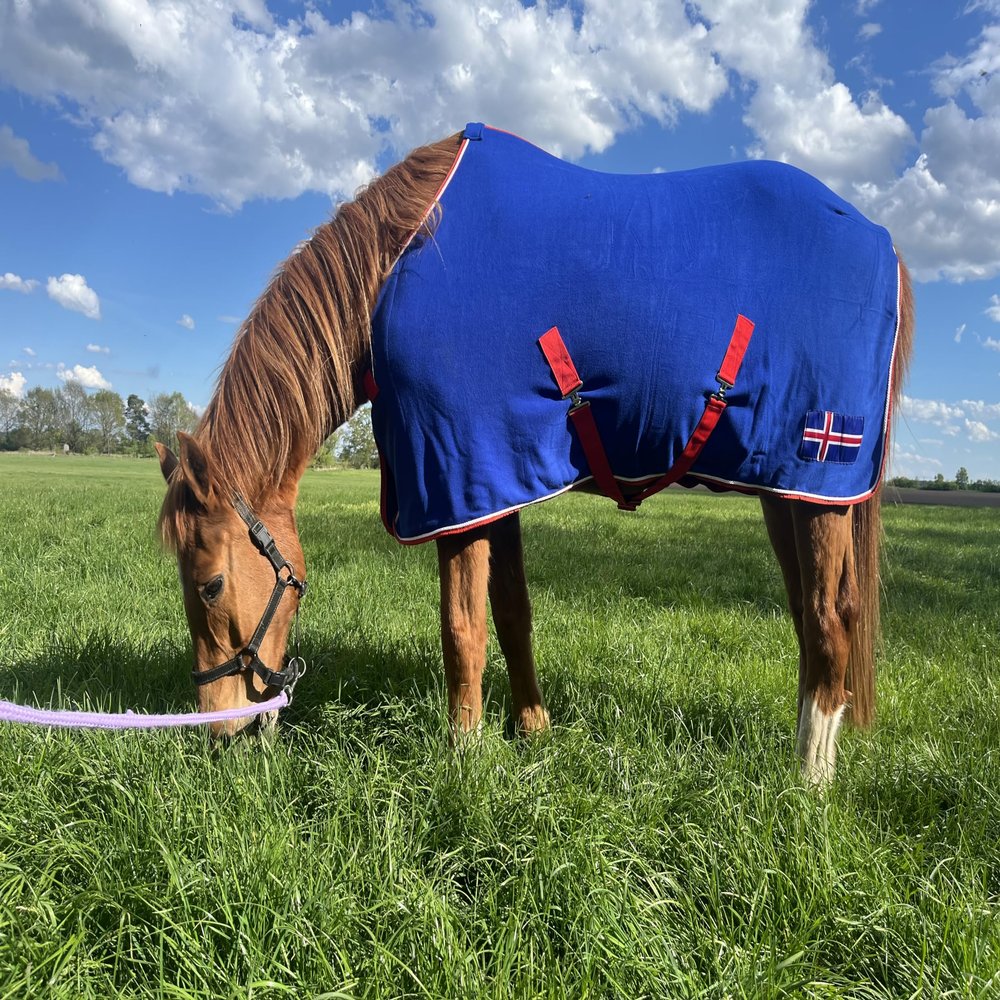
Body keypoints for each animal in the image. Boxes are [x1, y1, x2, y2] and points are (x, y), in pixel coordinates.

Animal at [157, 124, 914, 784]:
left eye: (210, 584)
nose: (220, 732)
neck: (395, 271)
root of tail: (881, 238)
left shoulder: (455, 477)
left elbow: (462, 628)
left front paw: (463, 756)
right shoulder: (496, 480)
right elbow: (511, 612)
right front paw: (530, 732)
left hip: (819, 480)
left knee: (830, 618)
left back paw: (810, 778)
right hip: (789, 491)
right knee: (810, 617)